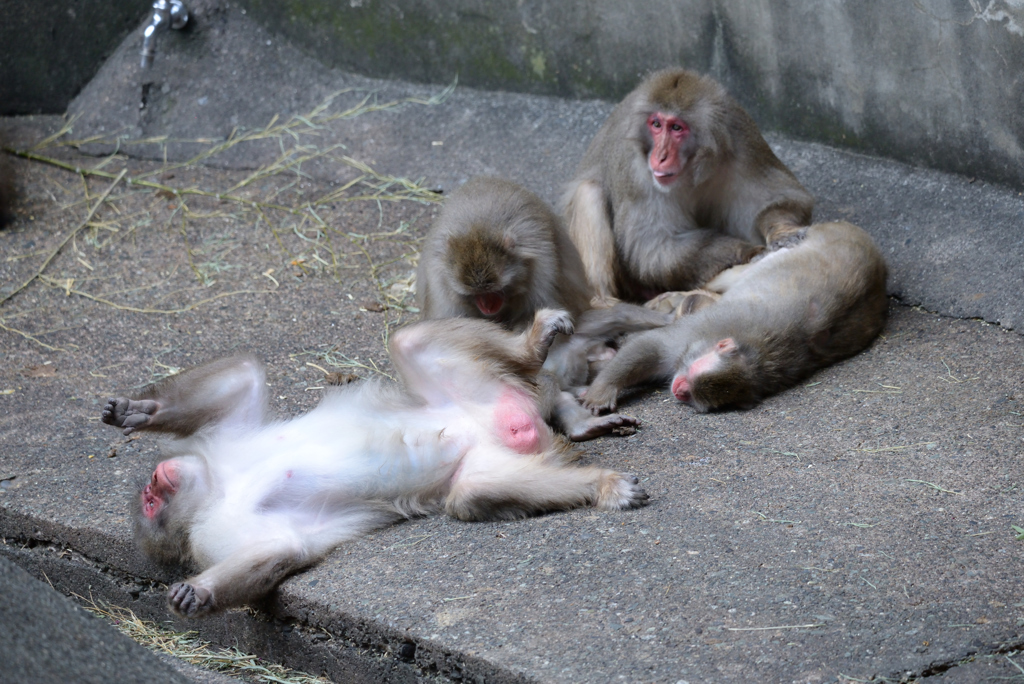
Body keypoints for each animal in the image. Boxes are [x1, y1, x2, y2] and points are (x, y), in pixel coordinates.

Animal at [103, 313, 647, 618]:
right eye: (149, 503)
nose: (154, 481)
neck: (219, 483)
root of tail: (504, 419)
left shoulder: (224, 442)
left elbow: (242, 377)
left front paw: (139, 411)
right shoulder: (211, 533)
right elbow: (281, 547)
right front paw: (201, 591)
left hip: (472, 387)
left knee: (409, 340)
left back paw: (535, 347)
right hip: (498, 445)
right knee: (471, 493)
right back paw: (598, 480)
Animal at [561, 68, 815, 303]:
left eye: (676, 128)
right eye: (656, 124)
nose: (660, 157)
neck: (692, 169)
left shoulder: (742, 140)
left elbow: (779, 197)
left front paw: (783, 232)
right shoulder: (635, 170)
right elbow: (652, 248)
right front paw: (747, 251)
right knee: (588, 192)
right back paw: (605, 303)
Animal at [585, 223, 888, 411]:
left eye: (693, 394)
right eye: (691, 378)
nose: (679, 390)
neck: (759, 357)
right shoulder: (696, 333)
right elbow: (649, 346)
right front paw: (603, 389)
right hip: (797, 244)